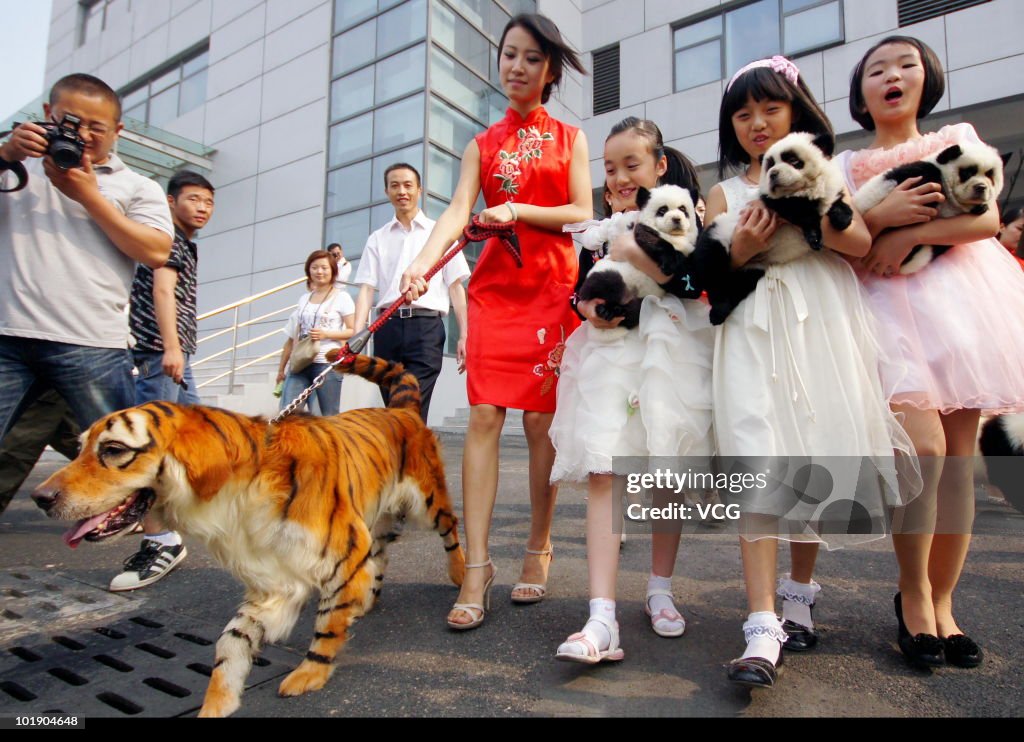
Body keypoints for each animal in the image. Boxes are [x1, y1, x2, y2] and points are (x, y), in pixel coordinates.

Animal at [30, 354, 464, 716]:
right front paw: (216, 704)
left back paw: (460, 578)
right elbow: (230, 642)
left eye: (114, 449)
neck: (232, 499)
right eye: (80, 447)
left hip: (426, 504)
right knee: (380, 556)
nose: (40, 497)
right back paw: (364, 601)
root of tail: (401, 410)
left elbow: (325, 626)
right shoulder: (272, 578)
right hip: (376, 520)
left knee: (451, 532)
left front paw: (310, 673)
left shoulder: (343, 550)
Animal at [581, 184, 700, 333]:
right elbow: (652, 240)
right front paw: (669, 265)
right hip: (609, 272)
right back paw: (605, 309)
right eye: (662, 210)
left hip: (644, 302)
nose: (676, 219)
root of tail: (627, 297)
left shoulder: (688, 247)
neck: (673, 236)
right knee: (605, 283)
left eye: (683, 209)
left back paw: (615, 311)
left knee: (634, 313)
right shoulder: (641, 229)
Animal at [692, 131, 851, 327]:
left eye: (793, 160)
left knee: (740, 283)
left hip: (753, 267)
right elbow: (800, 211)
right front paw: (814, 235)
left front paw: (842, 218)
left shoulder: (829, 188)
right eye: (769, 165)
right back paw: (718, 309)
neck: (806, 189)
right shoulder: (770, 203)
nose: (773, 174)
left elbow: (836, 202)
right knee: (712, 266)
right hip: (720, 232)